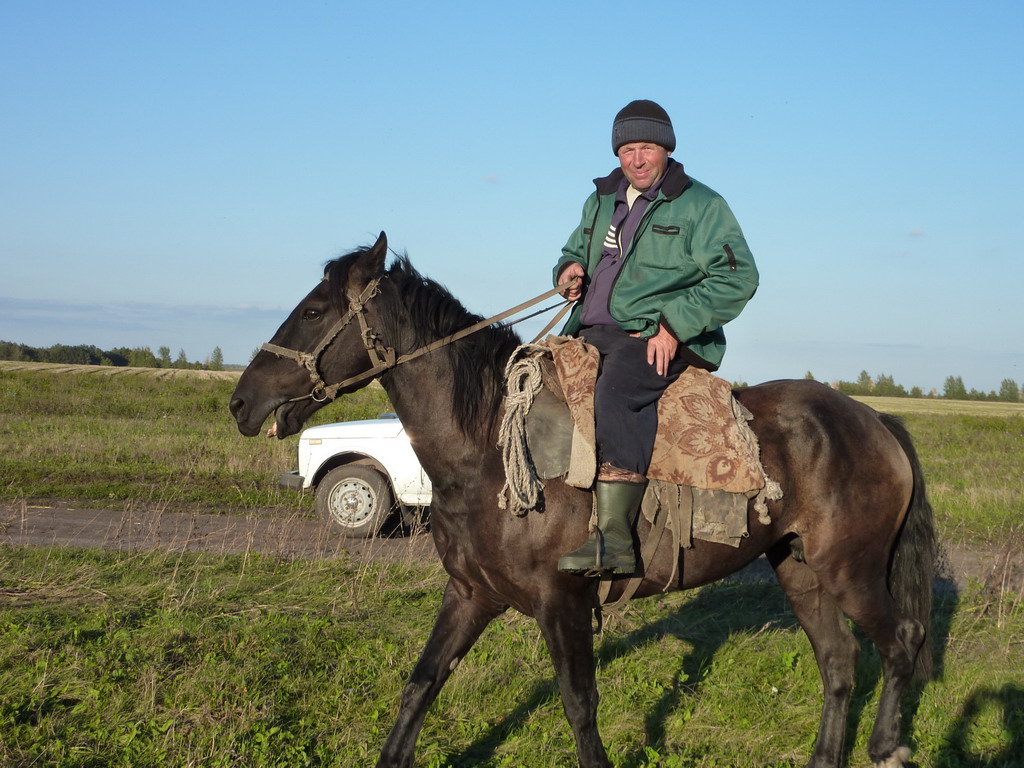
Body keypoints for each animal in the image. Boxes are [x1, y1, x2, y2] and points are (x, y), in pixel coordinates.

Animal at [230, 232, 936, 768]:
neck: (486, 449)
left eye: (314, 312)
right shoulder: (470, 593)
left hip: (850, 570)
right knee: (840, 662)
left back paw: (887, 748)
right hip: (800, 569)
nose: (242, 402)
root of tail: (875, 420)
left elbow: (578, 705)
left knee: (901, 641)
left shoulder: (560, 601)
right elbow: (422, 684)